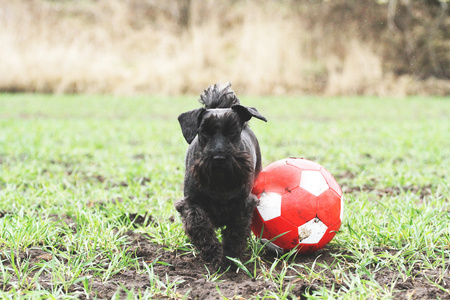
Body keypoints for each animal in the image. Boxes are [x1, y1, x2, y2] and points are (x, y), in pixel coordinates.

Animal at [176, 83, 268, 268]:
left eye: (232, 132)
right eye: (204, 132)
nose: (219, 158)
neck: (219, 182)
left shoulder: (243, 205)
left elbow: (236, 231)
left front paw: (230, 258)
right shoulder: (190, 203)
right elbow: (199, 224)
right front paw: (213, 252)